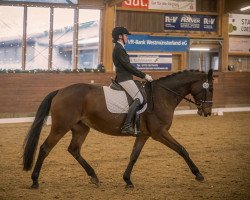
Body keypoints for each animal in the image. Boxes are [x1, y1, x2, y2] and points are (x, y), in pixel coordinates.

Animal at [23, 68, 213, 188]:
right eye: (209, 88)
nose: (208, 112)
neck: (162, 96)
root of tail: (60, 91)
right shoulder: (160, 133)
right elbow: (182, 149)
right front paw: (198, 174)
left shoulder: (143, 135)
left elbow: (134, 156)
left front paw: (127, 180)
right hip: (60, 127)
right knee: (45, 148)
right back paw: (34, 181)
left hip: (81, 128)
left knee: (74, 149)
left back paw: (94, 176)